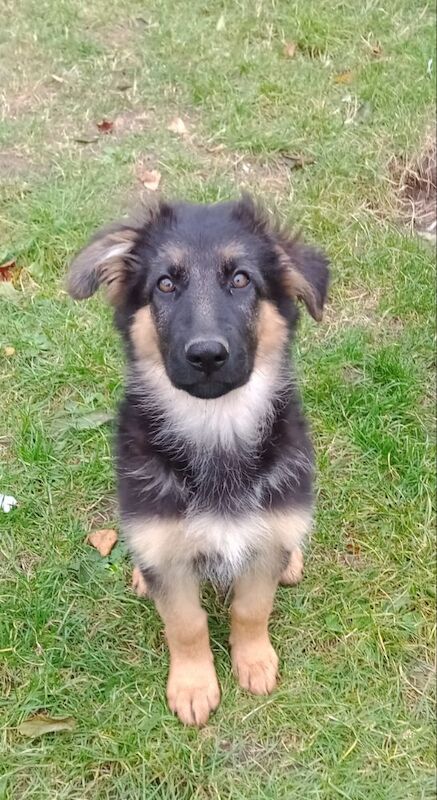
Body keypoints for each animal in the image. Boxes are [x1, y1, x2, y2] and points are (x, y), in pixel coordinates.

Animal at [68, 194, 328, 724]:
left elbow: (251, 608)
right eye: (165, 284)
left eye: (242, 279)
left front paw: (254, 662)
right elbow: (186, 624)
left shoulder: (265, 538)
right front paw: (193, 686)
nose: (206, 355)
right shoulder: (164, 548)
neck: (215, 428)